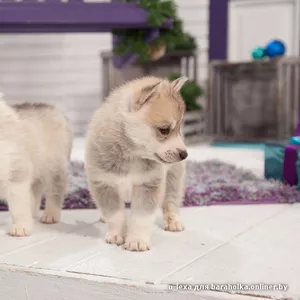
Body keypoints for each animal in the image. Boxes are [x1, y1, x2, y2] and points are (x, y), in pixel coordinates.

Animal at [0, 98, 72, 237]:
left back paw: (51, 215)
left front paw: (20, 227)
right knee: (35, 190)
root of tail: (53, 108)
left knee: (55, 190)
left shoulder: (17, 171)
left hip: (54, 166)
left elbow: (18, 205)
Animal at [84, 75, 188, 251]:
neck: (131, 155)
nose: (184, 154)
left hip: (174, 177)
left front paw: (137, 240)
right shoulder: (104, 184)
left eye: (179, 130)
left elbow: (141, 217)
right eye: (164, 130)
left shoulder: (147, 186)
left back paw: (173, 220)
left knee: (171, 200)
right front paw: (117, 234)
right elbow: (115, 214)